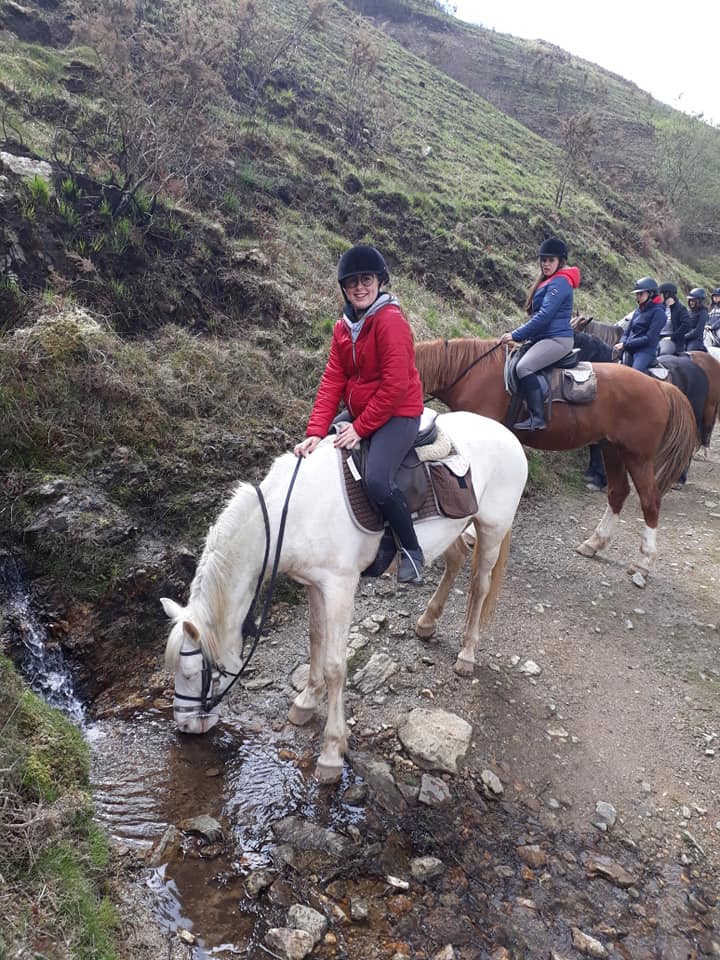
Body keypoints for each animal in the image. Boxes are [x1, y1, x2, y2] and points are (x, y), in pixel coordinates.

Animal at [160, 410, 524, 780]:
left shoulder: (339, 587)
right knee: (455, 560)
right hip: (453, 530)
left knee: (480, 585)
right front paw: (306, 702)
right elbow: (315, 639)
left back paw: (467, 654)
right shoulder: (313, 584)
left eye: (191, 673)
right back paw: (426, 622)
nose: (186, 728)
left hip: (492, 528)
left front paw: (332, 751)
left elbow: (336, 666)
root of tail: (505, 433)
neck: (292, 513)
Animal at [414, 338, 700, 576]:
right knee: (618, 493)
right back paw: (594, 543)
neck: (471, 373)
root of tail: (660, 386)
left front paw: (471, 534)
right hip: (612, 450)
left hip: (638, 457)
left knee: (650, 500)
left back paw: (644, 561)